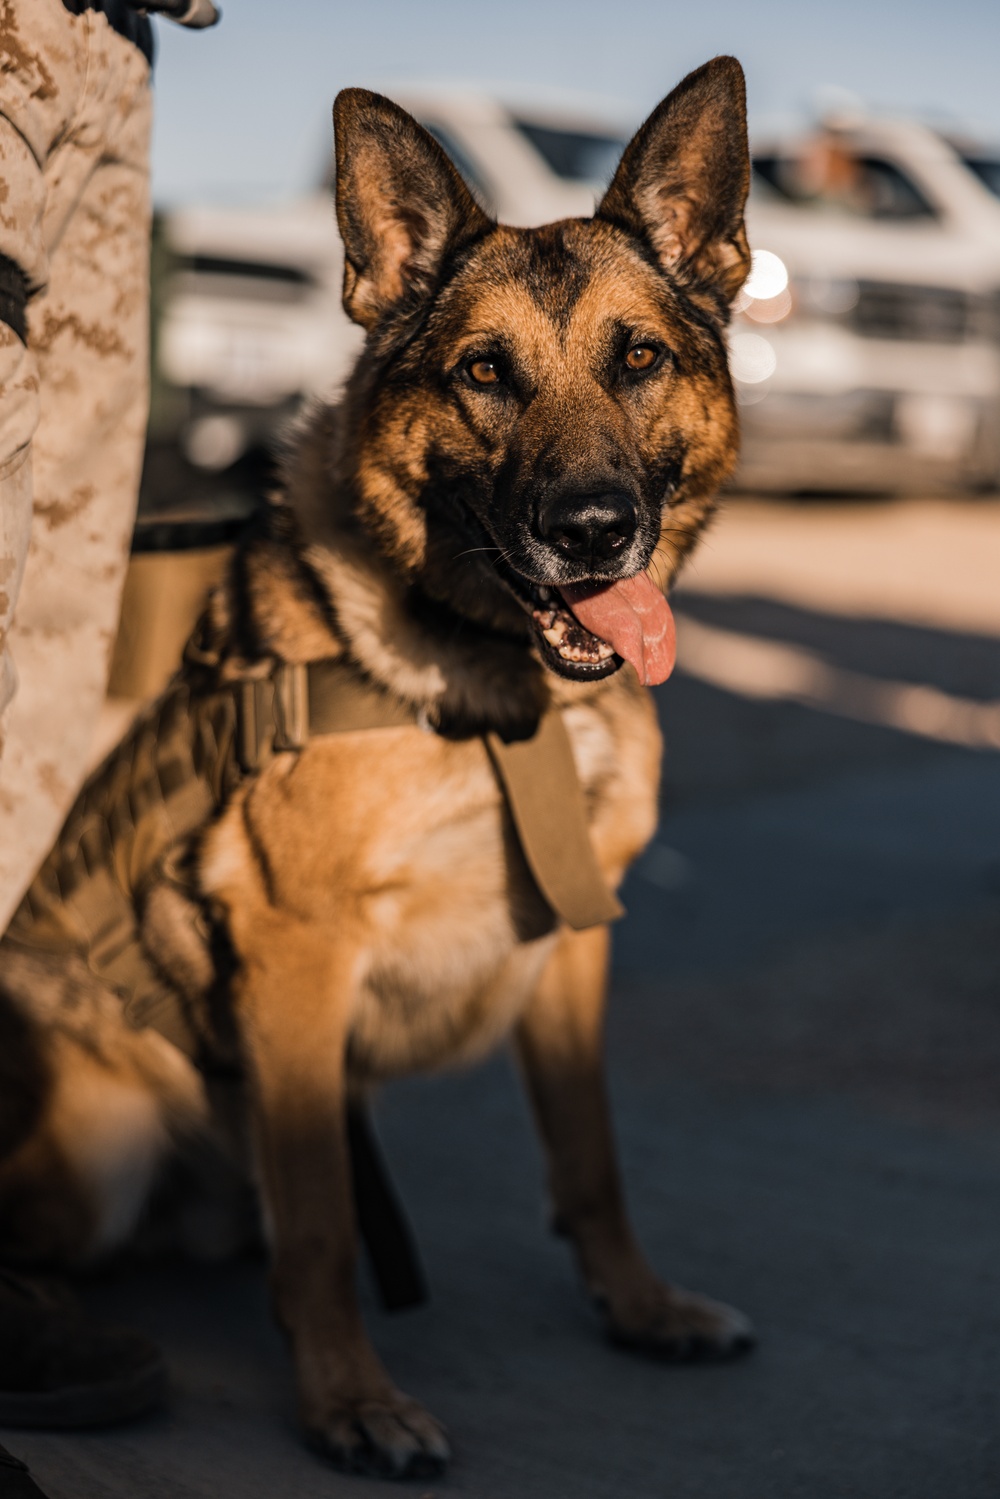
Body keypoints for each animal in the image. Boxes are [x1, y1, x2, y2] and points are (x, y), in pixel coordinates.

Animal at [0, 55, 749, 1475]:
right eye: (482, 372)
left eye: (639, 358)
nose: (593, 530)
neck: (505, 693)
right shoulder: (299, 952)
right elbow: (323, 1219)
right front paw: (350, 1398)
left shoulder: (575, 942)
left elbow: (592, 1154)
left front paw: (637, 1304)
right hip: (104, 1129)